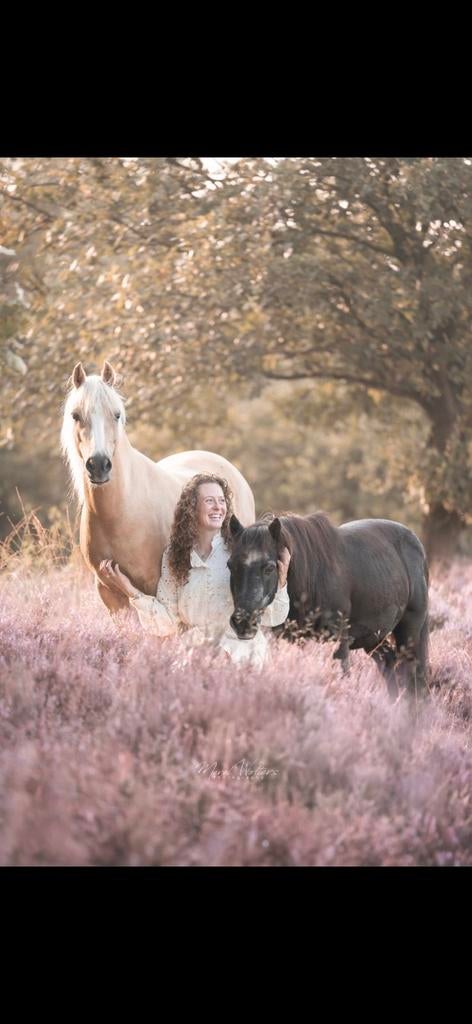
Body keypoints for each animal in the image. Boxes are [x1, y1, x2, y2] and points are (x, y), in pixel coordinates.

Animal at [60, 360, 255, 615]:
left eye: (116, 414)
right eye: (75, 415)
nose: (99, 465)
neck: (121, 512)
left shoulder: (156, 587)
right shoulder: (109, 594)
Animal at [227, 512, 429, 699]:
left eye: (269, 568)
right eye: (231, 565)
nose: (242, 622)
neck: (313, 578)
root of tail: (416, 543)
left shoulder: (339, 642)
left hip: (409, 632)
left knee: (414, 677)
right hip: (373, 638)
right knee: (389, 663)